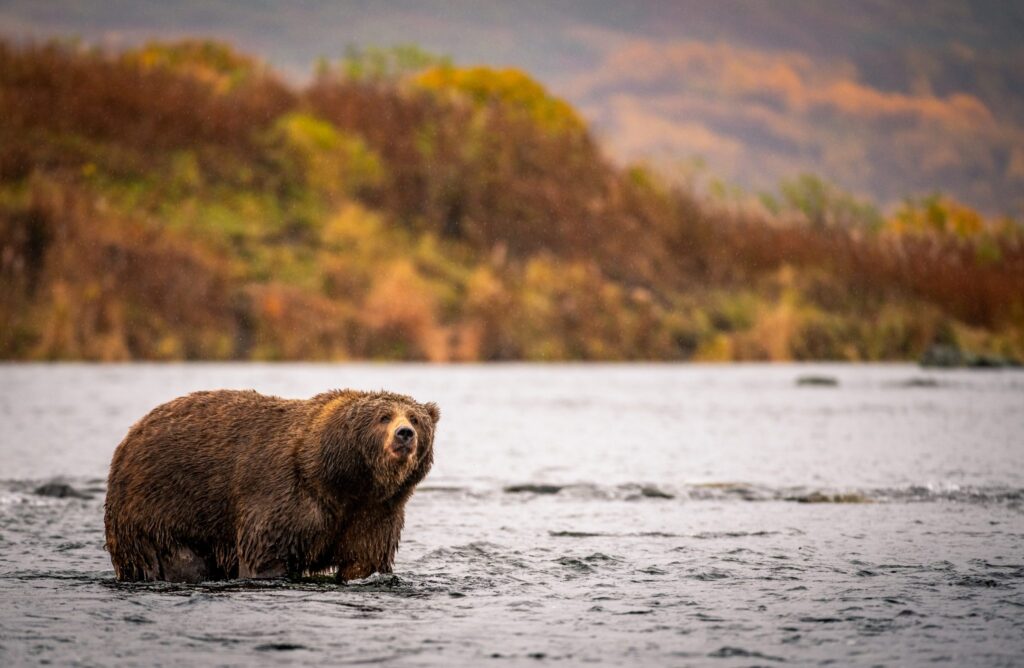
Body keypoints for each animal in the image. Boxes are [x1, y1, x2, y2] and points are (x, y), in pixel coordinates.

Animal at [104, 389, 440, 581]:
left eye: (415, 418)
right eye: (383, 417)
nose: (405, 434)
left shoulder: (375, 513)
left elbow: (365, 559)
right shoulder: (285, 495)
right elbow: (266, 554)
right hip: (161, 508)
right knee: (181, 559)